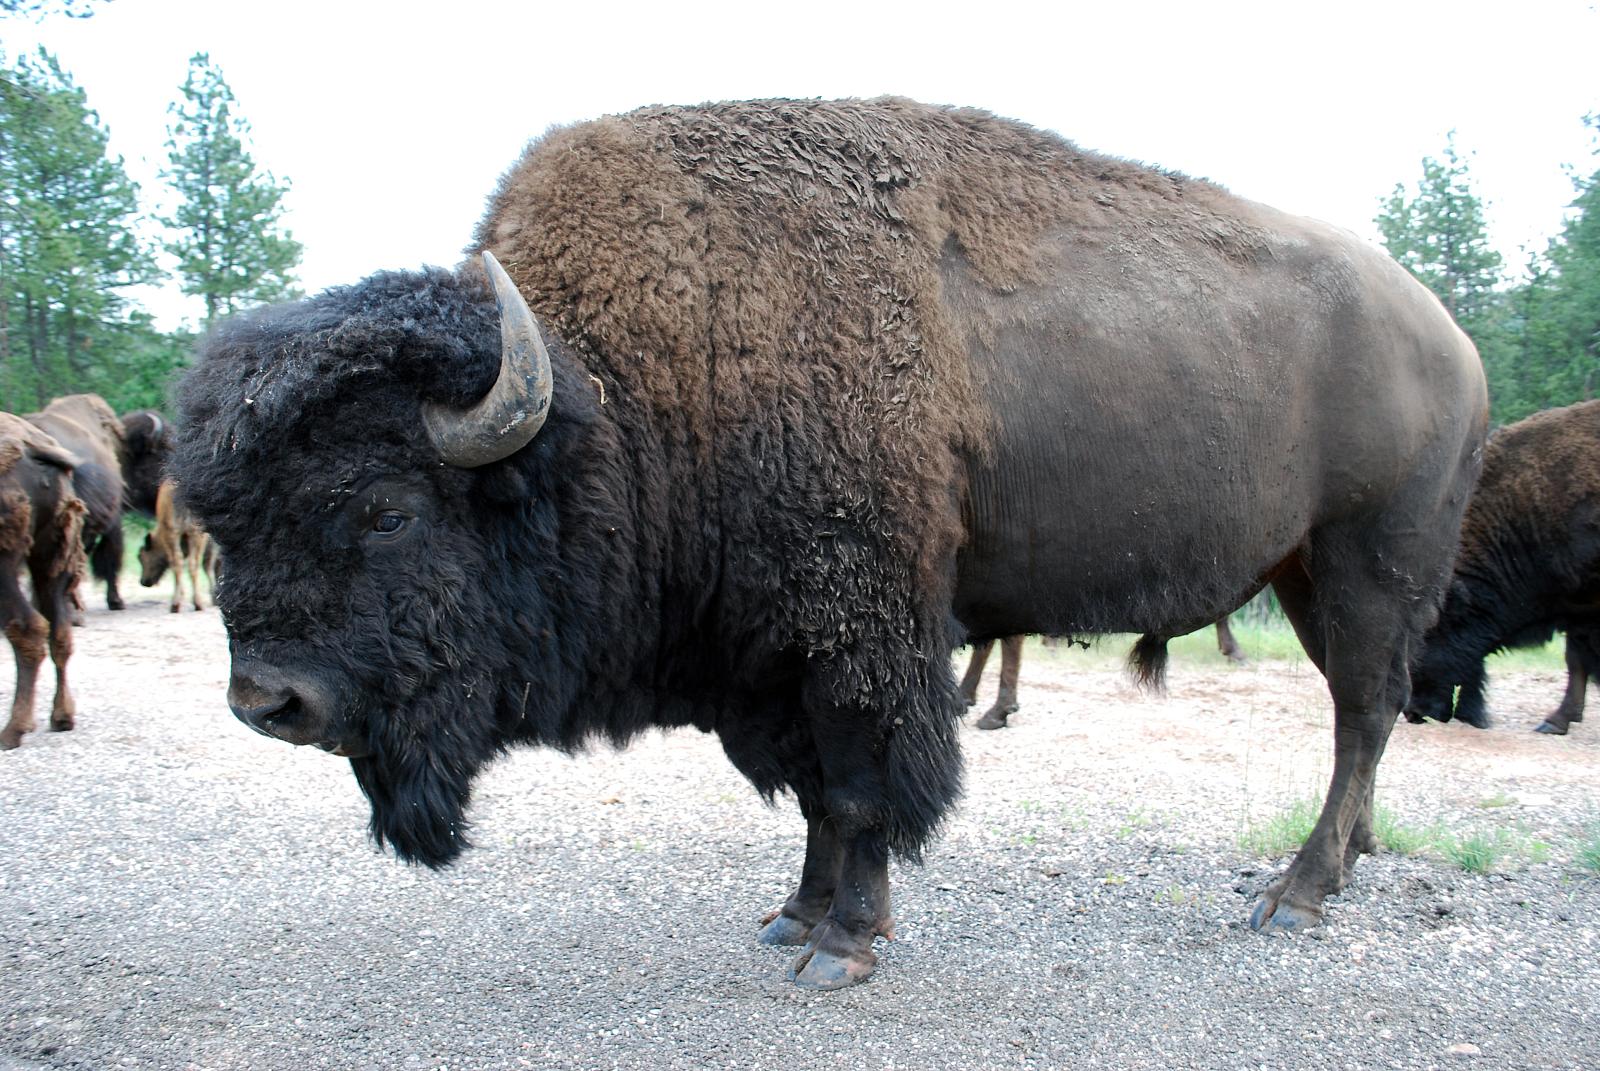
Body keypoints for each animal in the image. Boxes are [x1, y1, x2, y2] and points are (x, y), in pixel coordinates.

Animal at [0, 413, 86, 749]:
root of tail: (30, 444)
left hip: (7, 567)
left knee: (28, 627)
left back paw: (13, 730)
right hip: (50, 562)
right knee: (59, 632)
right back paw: (61, 717)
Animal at [168, 96, 1478, 992]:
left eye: (386, 509)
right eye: (223, 522)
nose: (267, 701)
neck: (626, 389)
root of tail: (1447, 337)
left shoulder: (858, 636)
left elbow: (859, 788)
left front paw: (844, 946)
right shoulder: (768, 656)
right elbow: (811, 799)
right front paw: (793, 920)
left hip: (1368, 562)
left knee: (1364, 711)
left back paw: (1295, 894)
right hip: (1303, 573)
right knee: (1359, 713)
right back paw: (1337, 865)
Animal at [1414, 400, 1600, 736]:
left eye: (1433, 636)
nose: (1414, 712)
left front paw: (1555, 721)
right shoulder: (1576, 608)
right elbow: (1576, 659)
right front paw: (1558, 721)